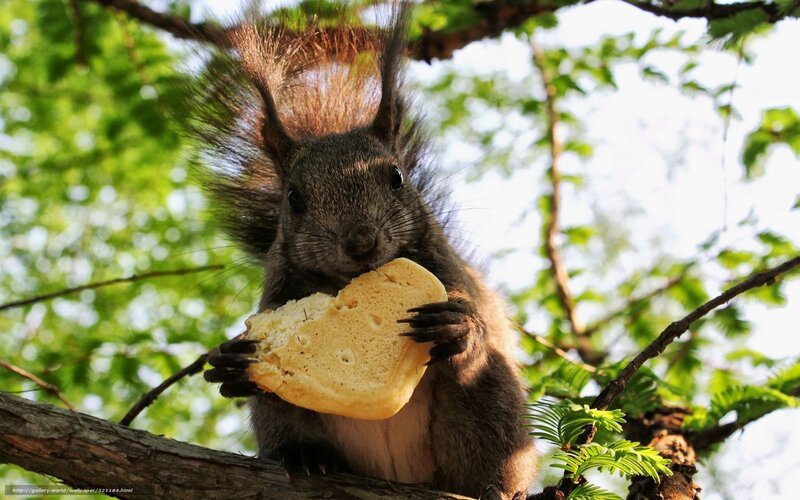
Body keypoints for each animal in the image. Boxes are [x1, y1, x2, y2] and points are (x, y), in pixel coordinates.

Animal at [199, 5, 537, 499]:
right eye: (293, 198)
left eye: (396, 177)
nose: (360, 242)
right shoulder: (277, 293)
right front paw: (231, 364)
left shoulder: (448, 271)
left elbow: (475, 319)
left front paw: (457, 324)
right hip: (283, 418)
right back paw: (305, 456)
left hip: (491, 406)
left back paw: (495, 485)